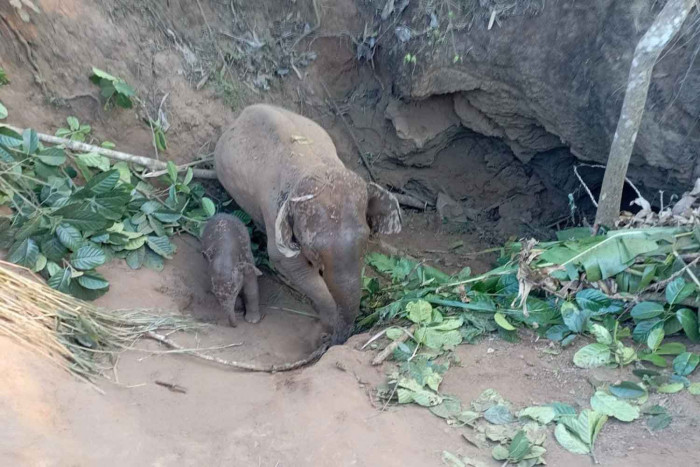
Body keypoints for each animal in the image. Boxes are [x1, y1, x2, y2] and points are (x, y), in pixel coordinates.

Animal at [214, 104, 402, 345]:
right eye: (314, 251)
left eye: (365, 241)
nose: (332, 340)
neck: (315, 166)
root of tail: (244, 112)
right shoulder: (275, 215)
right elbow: (288, 262)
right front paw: (329, 317)